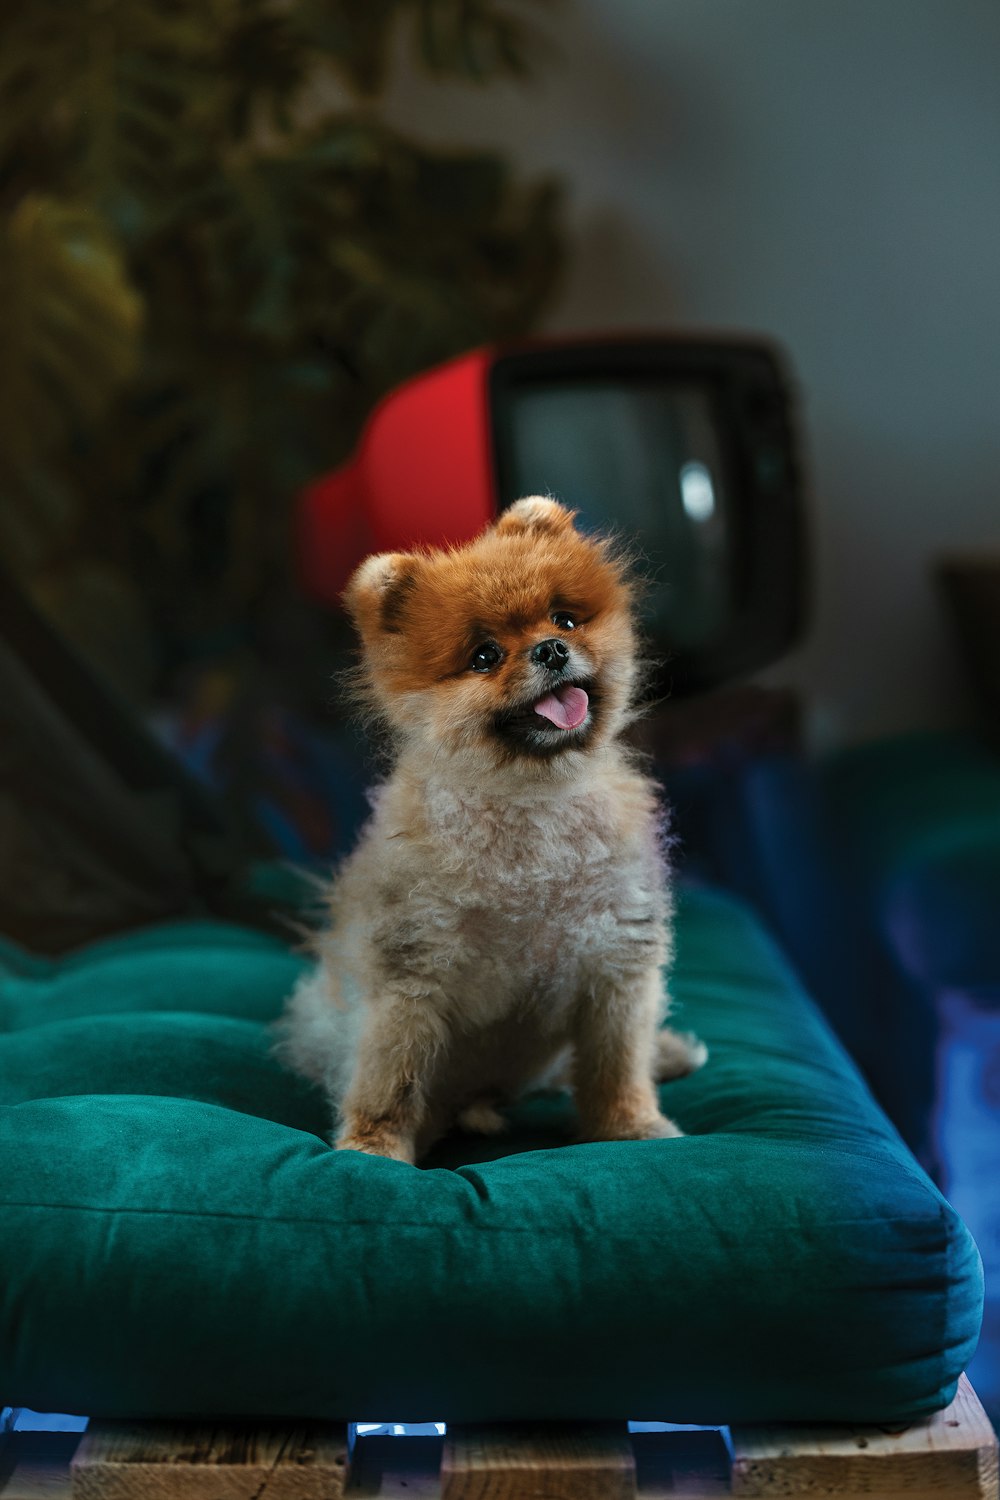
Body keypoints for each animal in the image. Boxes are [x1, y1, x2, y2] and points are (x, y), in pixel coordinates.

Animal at [277, 498, 707, 1164]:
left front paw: (630, 1125)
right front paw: (374, 1146)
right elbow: (391, 1076)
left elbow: (617, 1064)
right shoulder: (411, 975)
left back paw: (671, 1051)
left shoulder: (615, 960)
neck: (532, 801)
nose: (552, 650)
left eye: (564, 619)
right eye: (484, 656)